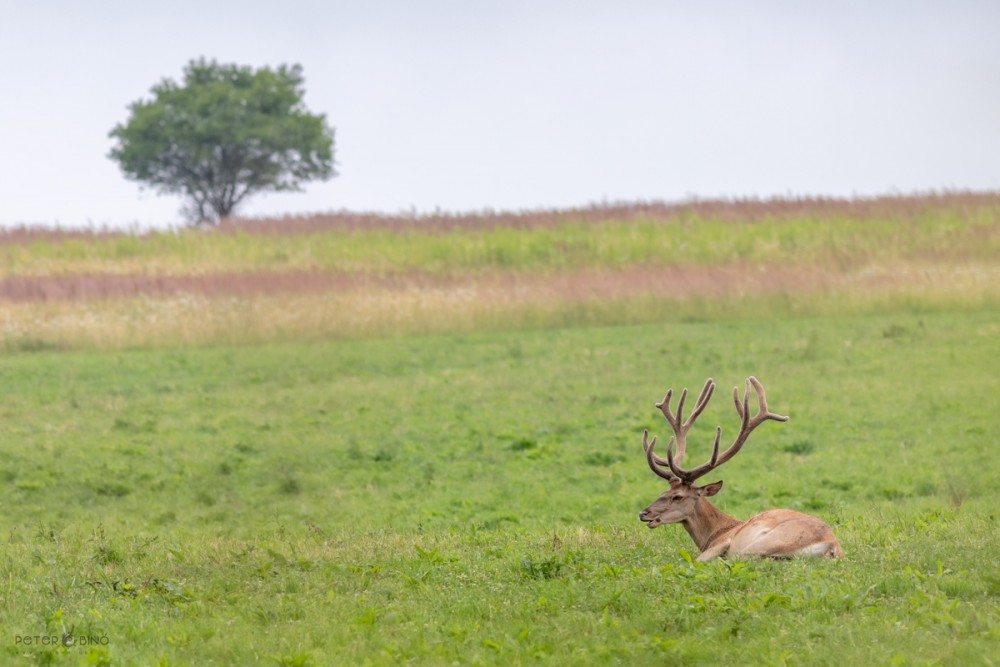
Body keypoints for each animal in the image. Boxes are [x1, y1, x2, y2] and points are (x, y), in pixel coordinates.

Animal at [636, 378, 840, 560]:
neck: (716, 532)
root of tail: (832, 546)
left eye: (677, 497)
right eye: (662, 492)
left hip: (763, 542)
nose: (643, 513)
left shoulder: (723, 542)